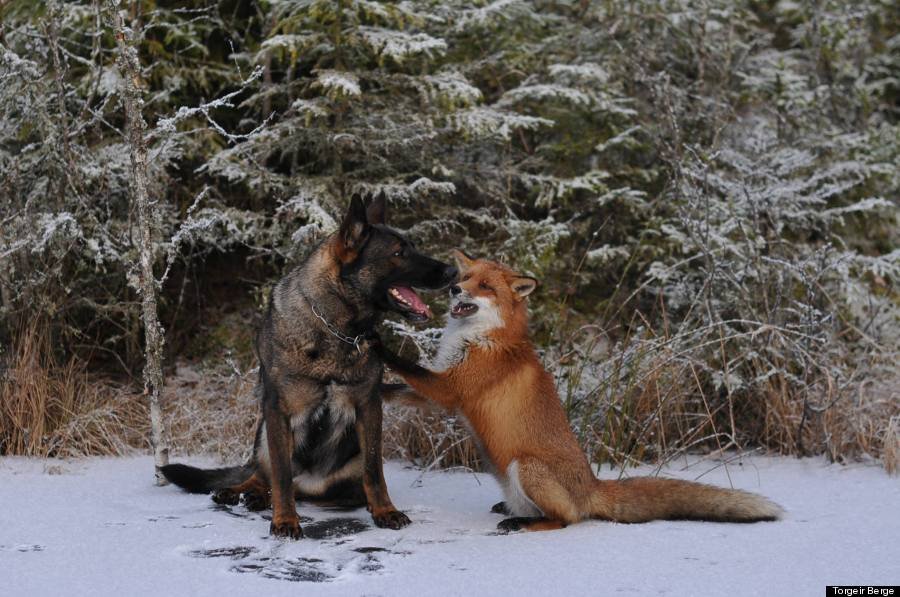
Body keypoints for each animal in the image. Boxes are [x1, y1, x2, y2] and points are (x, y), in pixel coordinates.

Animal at [160, 193, 458, 536]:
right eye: (399, 253)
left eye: (412, 246)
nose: (453, 271)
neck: (336, 330)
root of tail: (310, 484)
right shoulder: (278, 410)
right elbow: (281, 475)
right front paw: (285, 519)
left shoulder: (369, 406)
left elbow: (375, 471)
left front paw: (385, 510)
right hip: (263, 436)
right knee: (262, 475)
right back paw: (242, 493)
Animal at [376, 250, 784, 532]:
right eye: (467, 277)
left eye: (486, 287)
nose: (454, 288)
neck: (480, 339)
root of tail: (592, 484)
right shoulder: (440, 395)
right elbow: (399, 388)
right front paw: (377, 388)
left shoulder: (451, 389)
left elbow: (408, 367)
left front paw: (378, 344)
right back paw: (511, 510)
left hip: (526, 467)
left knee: (566, 519)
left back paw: (520, 523)